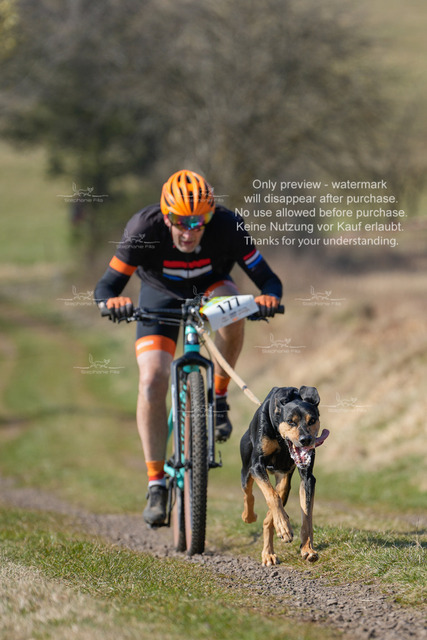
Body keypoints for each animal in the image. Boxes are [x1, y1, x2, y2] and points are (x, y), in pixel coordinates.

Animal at [240, 386, 329, 566]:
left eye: (312, 420)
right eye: (290, 421)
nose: (306, 439)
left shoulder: (307, 477)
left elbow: (307, 515)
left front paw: (307, 549)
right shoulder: (256, 466)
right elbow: (271, 496)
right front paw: (283, 526)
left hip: (284, 481)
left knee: (270, 514)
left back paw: (269, 552)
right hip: (246, 468)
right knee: (249, 492)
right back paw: (250, 516)